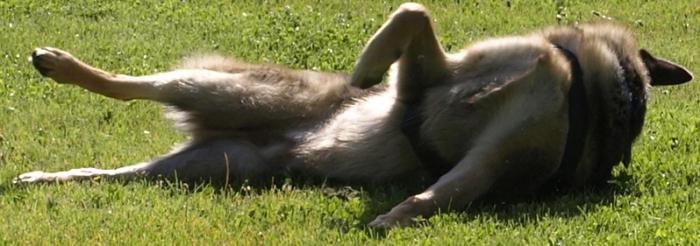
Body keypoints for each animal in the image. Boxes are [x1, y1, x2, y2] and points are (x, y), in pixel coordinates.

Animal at [13, 2, 692, 229]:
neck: (592, 89)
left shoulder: (492, 159)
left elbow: (442, 192)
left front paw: (394, 218)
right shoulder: (430, 77)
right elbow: (413, 14)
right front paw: (368, 68)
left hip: (207, 165)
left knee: (112, 170)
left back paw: (46, 175)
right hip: (216, 90)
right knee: (133, 87)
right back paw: (58, 66)